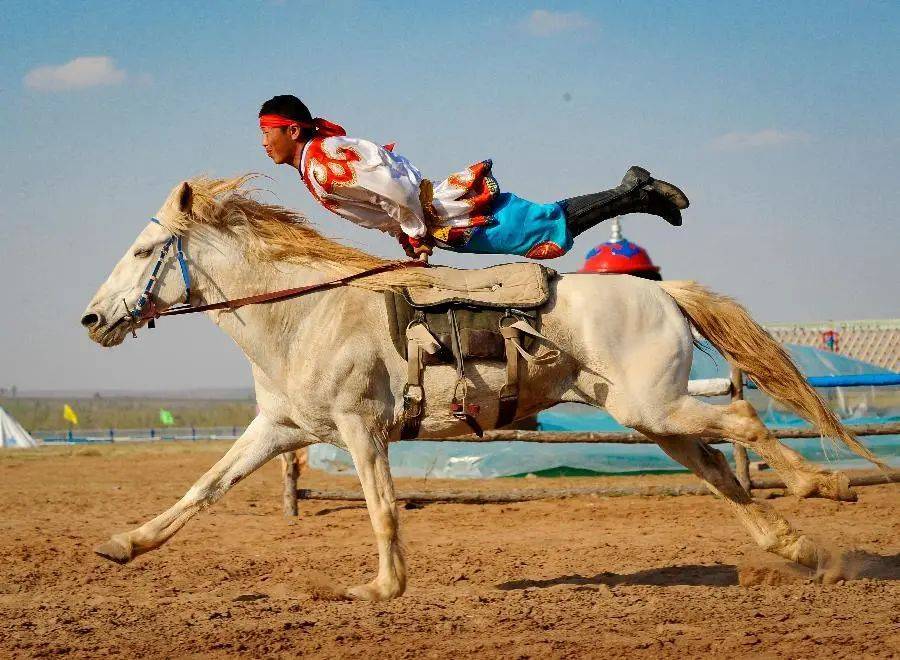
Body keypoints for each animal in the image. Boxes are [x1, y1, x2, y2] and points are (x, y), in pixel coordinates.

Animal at [81, 174, 884, 600]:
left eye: (145, 251)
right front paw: (123, 544)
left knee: (743, 418)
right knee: (720, 467)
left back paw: (825, 488)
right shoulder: (280, 429)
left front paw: (380, 588)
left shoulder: (360, 427)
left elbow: (381, 509)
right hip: (649, 417)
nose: (92, 319)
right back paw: (797, 547)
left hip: (654, 406)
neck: (307, 311)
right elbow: (203, 489)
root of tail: (663, 291)